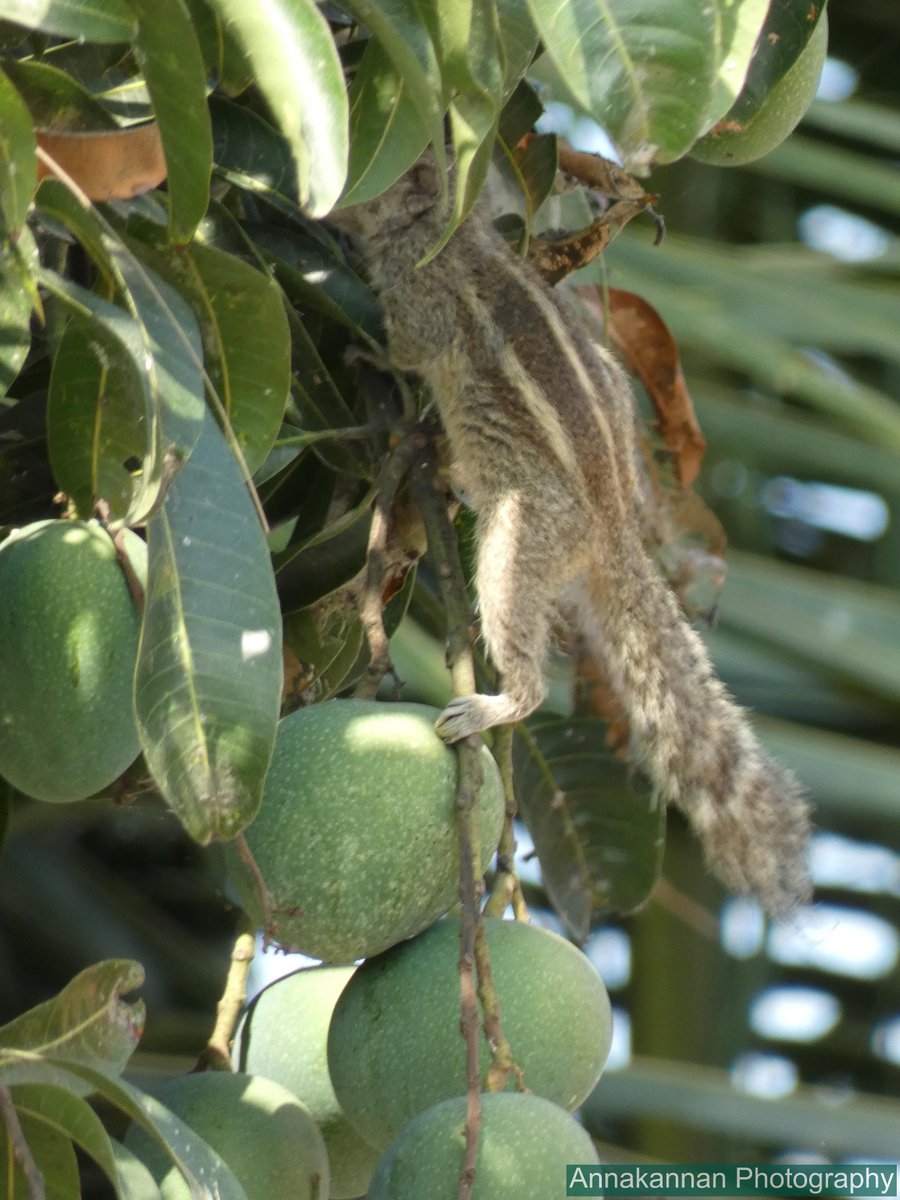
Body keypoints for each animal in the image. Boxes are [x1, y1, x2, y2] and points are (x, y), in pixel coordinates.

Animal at [331, 155, 812, 916]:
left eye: (378, 174)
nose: (321, 203)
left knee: (518, 641)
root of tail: (614, 526)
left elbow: (404, 351)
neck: (448, 229)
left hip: (521, 540)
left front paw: (365, 349)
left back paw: (496, 703)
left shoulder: (419, 300)